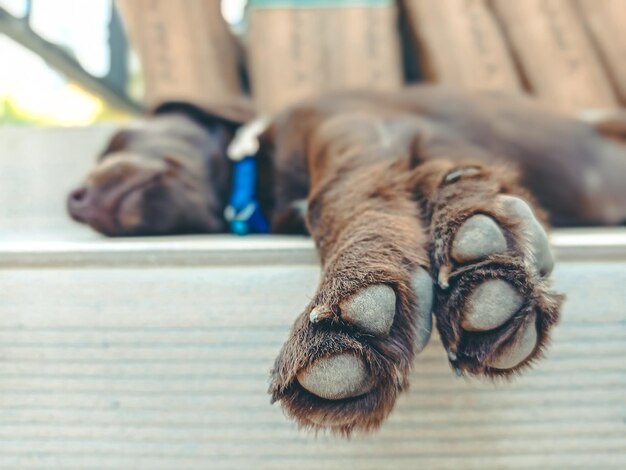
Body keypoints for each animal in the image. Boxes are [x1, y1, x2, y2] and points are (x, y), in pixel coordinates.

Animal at [67, 85, 624, 434]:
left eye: (119, 140)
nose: (74, 200)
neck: (258, 183)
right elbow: (434, 180)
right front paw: (476, 231)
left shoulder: (363, 130)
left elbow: (337, 193)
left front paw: (354, 302)